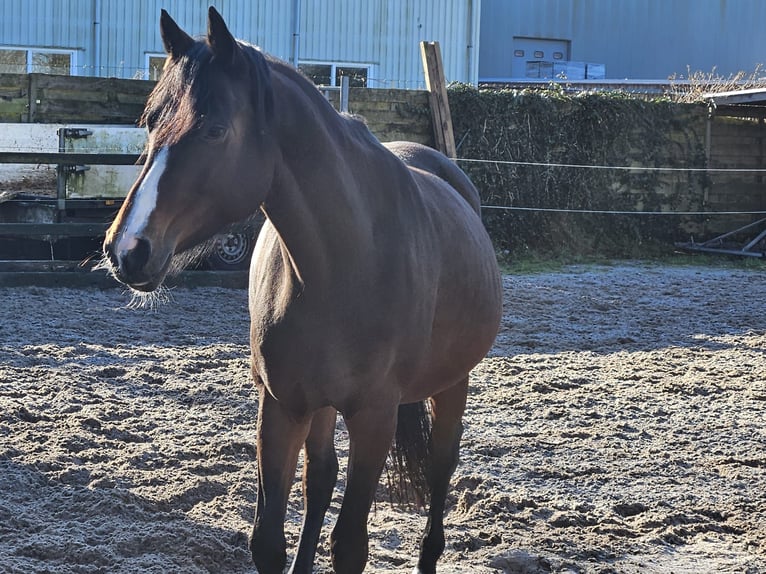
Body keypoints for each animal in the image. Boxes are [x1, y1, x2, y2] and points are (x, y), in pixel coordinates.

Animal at [103, 7, 504, 574]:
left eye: (215, 130)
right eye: (151, 123)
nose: (126, 249)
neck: (345, 262)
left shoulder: (375, 416)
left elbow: (350, 544)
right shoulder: (282, 406)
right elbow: (269, 538)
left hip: (452, 385)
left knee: (441, 469)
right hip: (320, 404)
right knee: (321, 475)